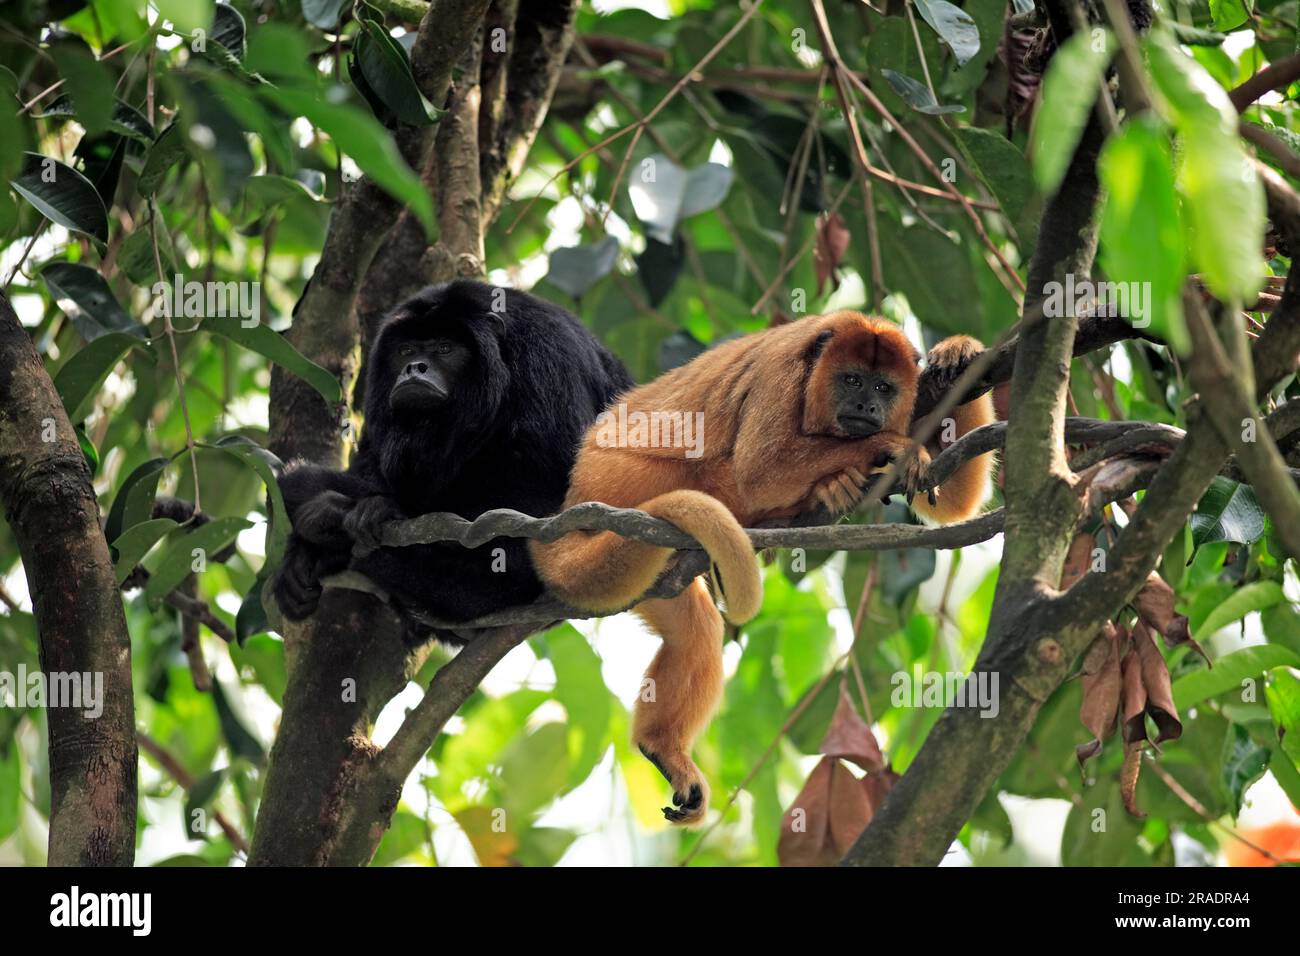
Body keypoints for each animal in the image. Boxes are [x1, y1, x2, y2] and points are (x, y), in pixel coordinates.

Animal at [274, 278, 634, 642]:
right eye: (406, 351)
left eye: (445, 348)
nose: (414, 368)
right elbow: (370, 465)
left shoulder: (548, 361)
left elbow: (548, 494)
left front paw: (365, 509)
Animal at [527, 312, 993, 822]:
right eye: (851, 379)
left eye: (884, 387)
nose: (866, 405)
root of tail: (572, 503)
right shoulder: (780, 371)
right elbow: (760, 469)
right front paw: (890, 446)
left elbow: (954, 501)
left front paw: (958, 352)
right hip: (624, 481)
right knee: (717, 474)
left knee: (693, 629)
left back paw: (662, 745)